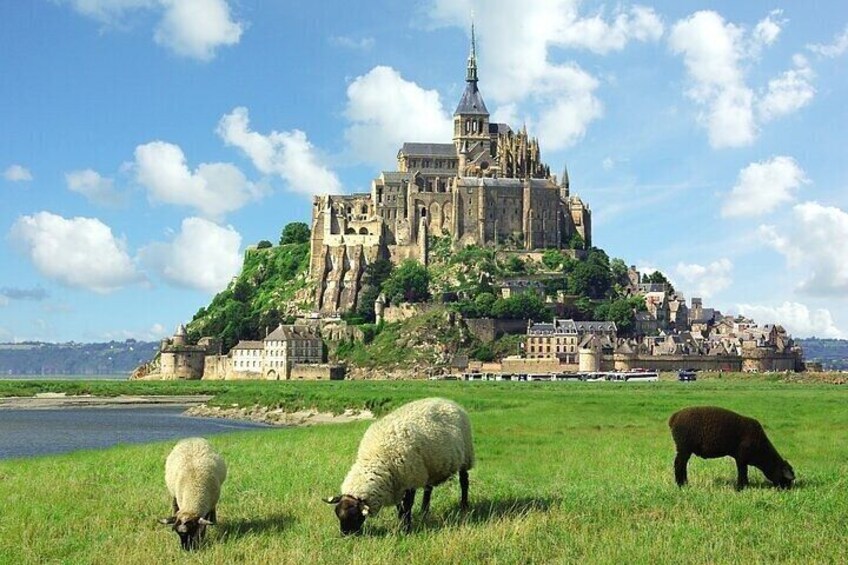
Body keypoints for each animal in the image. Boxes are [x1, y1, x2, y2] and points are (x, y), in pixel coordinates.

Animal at [322, 396, 474, 532]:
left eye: (354, 516)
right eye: (338, 514)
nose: (345, 535)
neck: (376, 458)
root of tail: (449, 401)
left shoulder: (410, 480)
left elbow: (407, 506)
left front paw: (406, 528)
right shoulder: (396, 484)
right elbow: (400, 507)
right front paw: (402, 522)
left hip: (466, 456)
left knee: (464, 481)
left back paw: (464, 505)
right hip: (428, 466)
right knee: (428, 489)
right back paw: (424, 511)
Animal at [668, 406, 796, 490]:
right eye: (787, 479)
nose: (787, 490)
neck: (762, 452)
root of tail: (674, 417)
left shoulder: (741, 458)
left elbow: (743, 472)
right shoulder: (741, 458)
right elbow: (743, 472)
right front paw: (742, 487)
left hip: (683, 448)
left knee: (681, 464)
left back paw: (683, 483)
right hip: (684, 447)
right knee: (679, 464)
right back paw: (682, 484)